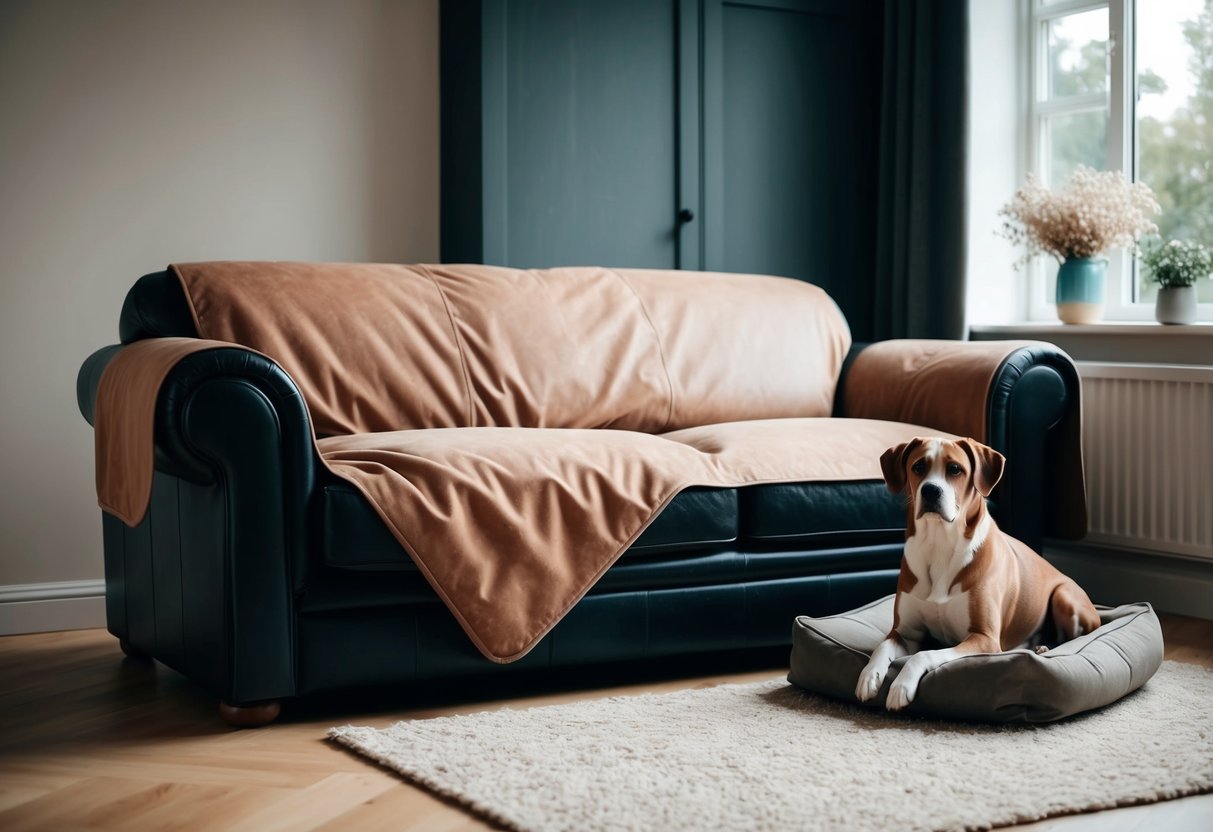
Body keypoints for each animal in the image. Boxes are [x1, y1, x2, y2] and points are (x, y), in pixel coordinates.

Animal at [853, 436, 1101, 708]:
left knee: (1073, 637)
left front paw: (902, 685)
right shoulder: (905, 632)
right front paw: (869, 675)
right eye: (918, 467)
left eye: (955, 469)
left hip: (1064, 597)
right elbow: (882, 647)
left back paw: (1045, 648)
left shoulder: (984, 637)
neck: (939, 544)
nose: (930, 490)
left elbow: (924, 654)